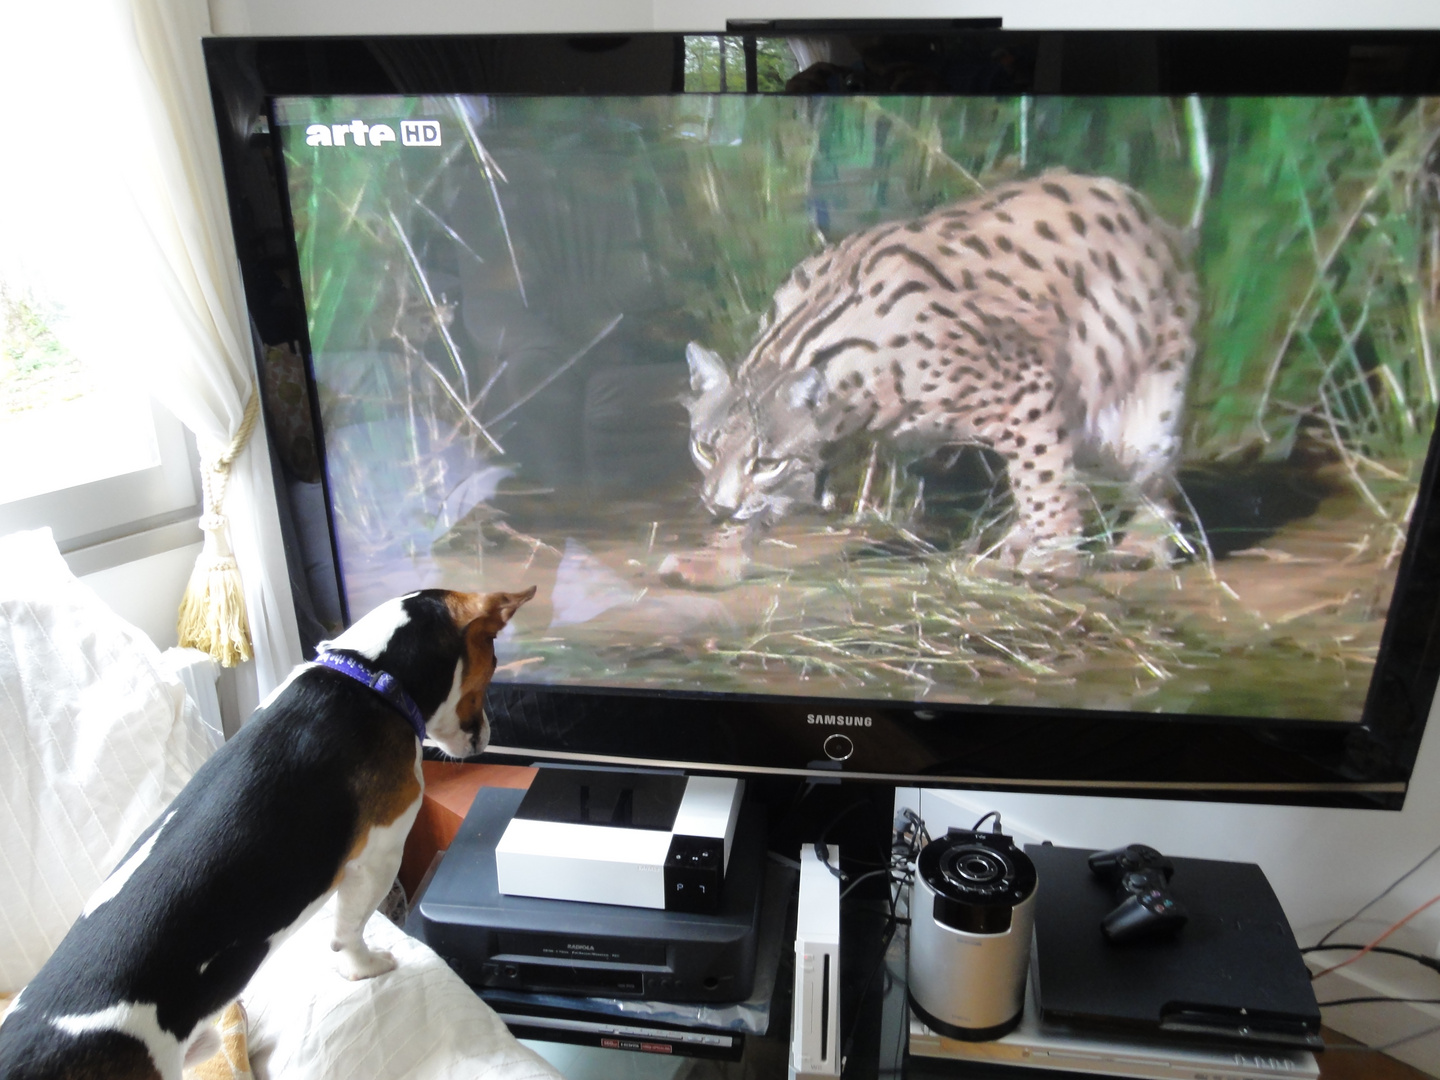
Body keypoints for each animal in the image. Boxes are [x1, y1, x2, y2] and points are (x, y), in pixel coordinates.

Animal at [0, 587, 535, 1080]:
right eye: (492, 666)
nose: (487, 739)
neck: (369, 675)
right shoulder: (379, 855)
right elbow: (348, 932)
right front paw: (363, 968)